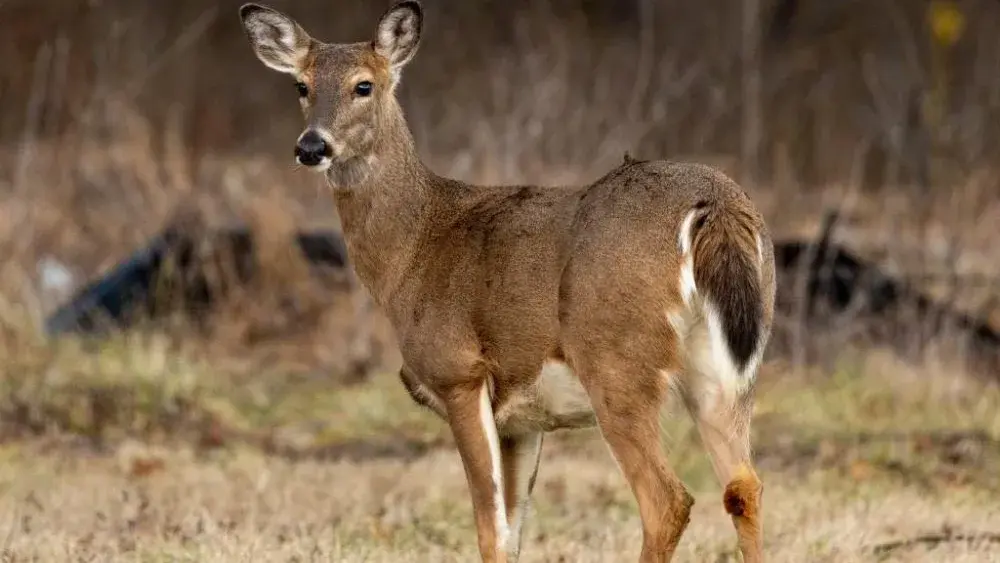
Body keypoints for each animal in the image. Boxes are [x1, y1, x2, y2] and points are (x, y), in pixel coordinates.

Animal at [239, 2, 775, 562]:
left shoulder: (458, 371)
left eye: (363, 85)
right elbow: (514, 529)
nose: (311, 146)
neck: (412, 250)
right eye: (301, 85)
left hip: (616, 360)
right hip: (727, 372)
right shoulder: (522, 419)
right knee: (744, 487)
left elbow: (490, 528)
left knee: (667, 500)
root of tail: (715, 205)